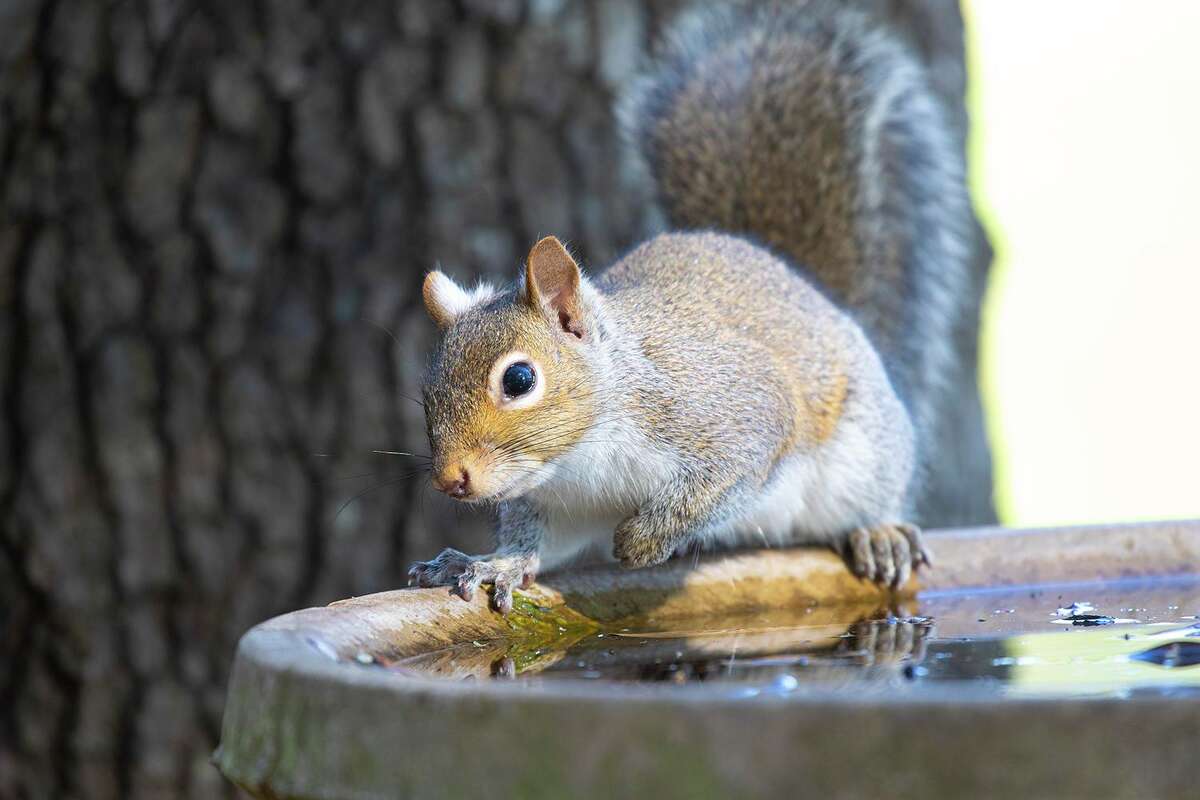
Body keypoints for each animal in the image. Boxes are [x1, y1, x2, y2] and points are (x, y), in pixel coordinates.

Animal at [408, 0, 985, 614]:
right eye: (427, 389)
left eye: (519, 379)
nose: (451, 480)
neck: (585, 454)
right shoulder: (556, 499)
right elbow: (534, 541)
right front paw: (495, 563)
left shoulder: (732, 413)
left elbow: (725, 479)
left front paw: (642, 541)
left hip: (868, 454)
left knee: (872, 497)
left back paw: (877, 533)